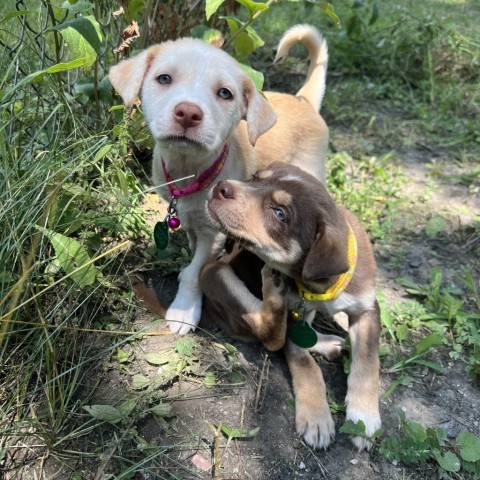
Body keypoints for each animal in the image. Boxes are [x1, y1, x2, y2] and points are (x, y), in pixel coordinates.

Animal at [201, 163, 380, 452]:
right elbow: (305, 364)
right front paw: (317, 418)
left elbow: (367, 361)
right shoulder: (294, 315)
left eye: (280, 214)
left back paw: (328, 341)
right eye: (255, 179)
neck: (320, 287)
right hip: (215, 272)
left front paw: (363, 418)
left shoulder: (367, 308)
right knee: (269, 334)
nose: (221, 187)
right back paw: (276, 295)